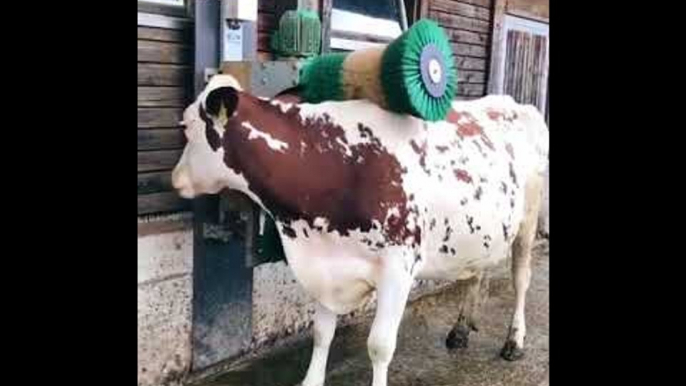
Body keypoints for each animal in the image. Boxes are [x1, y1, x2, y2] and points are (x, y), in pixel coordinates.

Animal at [173, 74, 552, 386]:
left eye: (188, 127)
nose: (175, 179)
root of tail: (515, 103)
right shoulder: (326, 261)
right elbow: (322, 333)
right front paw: (311, 381)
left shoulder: (398, 268)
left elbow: (380, 346)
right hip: (481, 231)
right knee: (476, 273)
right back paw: (460, 331)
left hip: (528, 219)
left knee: (521, 279)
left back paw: (514, 340)